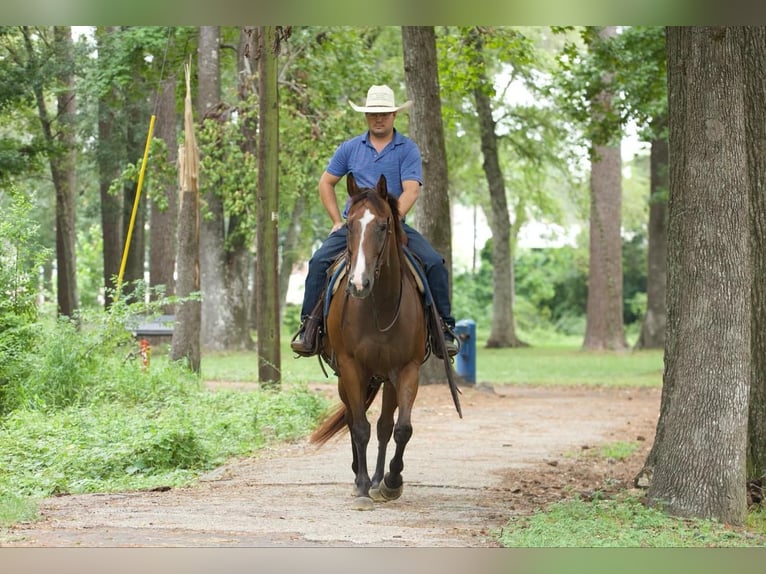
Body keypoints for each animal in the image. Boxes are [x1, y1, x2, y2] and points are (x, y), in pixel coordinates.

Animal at [312, 173, 462, 510]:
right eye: (349, 225)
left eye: (383, 226)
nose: (358, 284)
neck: (378, 307)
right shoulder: (351, 368)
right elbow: (359, 427)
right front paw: (362, 486)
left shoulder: (406, 370)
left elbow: (400, 428)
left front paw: (391, 482)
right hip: (348, 378)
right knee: (355, 420)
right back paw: (360, 476)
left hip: (386, 379)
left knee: (383, 426)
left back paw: (379, 479)